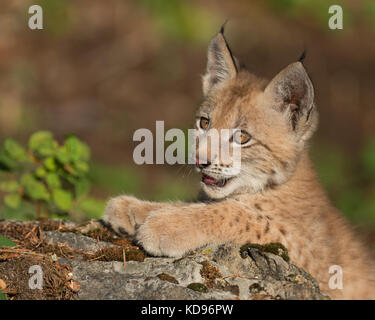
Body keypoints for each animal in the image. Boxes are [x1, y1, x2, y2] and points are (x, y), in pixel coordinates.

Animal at [104, 28, 375, 298]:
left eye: (242, 137)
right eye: (204, 123)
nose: (199, 160)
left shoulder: (308, 258)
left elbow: (237, 213)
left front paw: (166, 225)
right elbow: (204, 203)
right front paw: (133, 209)